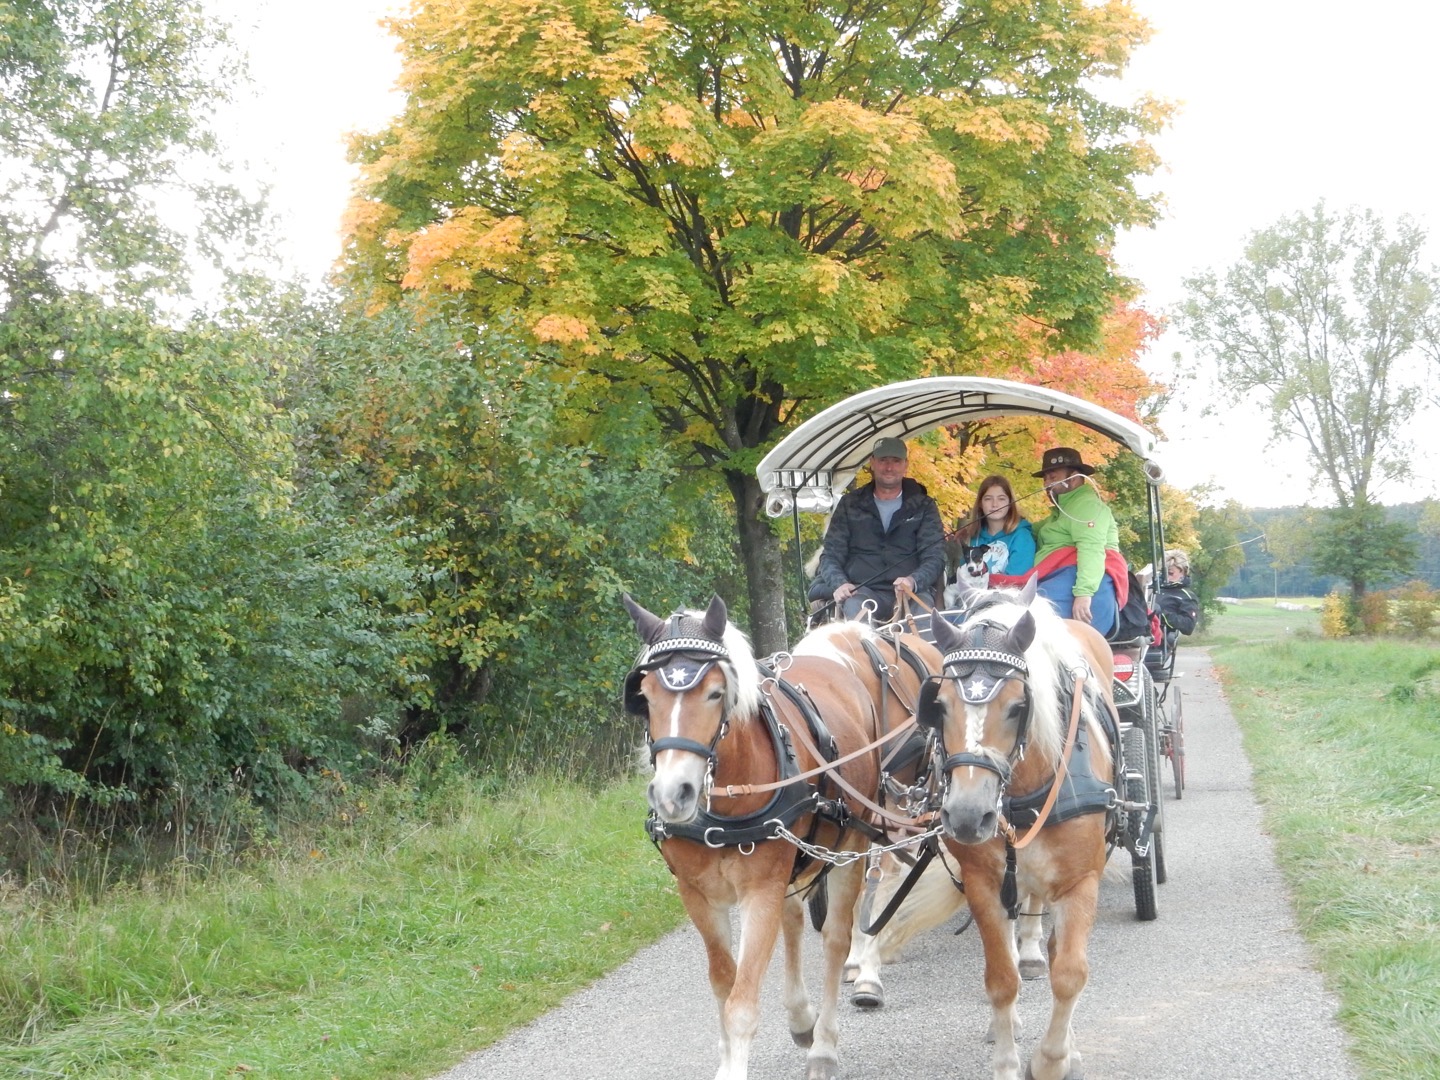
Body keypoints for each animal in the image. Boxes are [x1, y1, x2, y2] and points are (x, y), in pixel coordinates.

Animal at [915, 584, 1117, 1080]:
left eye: (1018, 707)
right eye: (939, 706)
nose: (968, 816)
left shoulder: (1081, 881)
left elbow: (1070, 972)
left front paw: (1054, 1058)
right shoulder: (983, 883)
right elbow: (1001, 979)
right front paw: (1007, 1061)